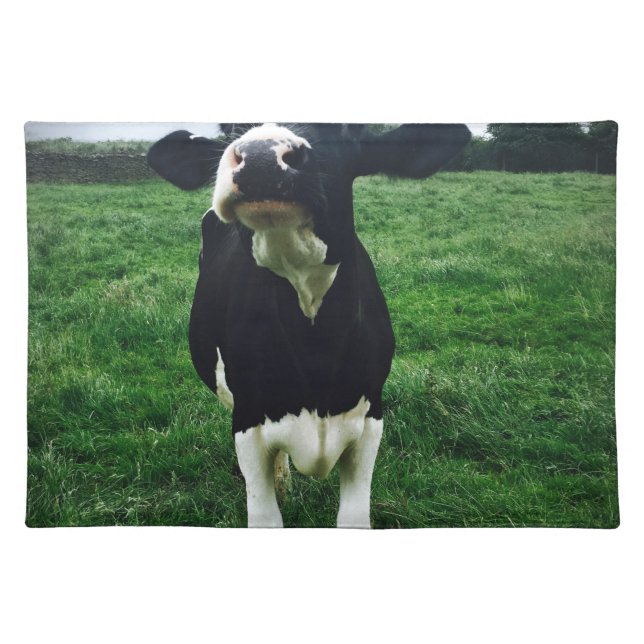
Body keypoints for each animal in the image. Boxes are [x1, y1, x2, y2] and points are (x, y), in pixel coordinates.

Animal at [147, 123, 471, 527]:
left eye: (347, 130)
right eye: (232, 130)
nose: (260, 157)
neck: (315, 341)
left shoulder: (371, 420)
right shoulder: (247, 421)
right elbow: (265, 517)